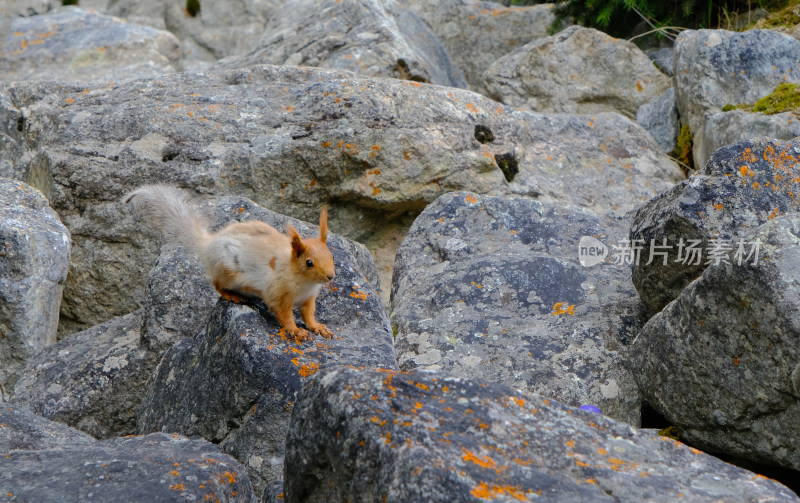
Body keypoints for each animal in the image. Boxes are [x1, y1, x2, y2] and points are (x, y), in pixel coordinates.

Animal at [123, 185, 336, 342]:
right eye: (309, 262)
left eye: (331, 255)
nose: (331, 276)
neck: (303, 281)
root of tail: (208, 244)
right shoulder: (277, 292)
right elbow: (283, 314)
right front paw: (296, 330)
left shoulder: (309, 298)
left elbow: (308, 314)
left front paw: (317, 327)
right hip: (227, 271)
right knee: (217, 284)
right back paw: (231, 295)